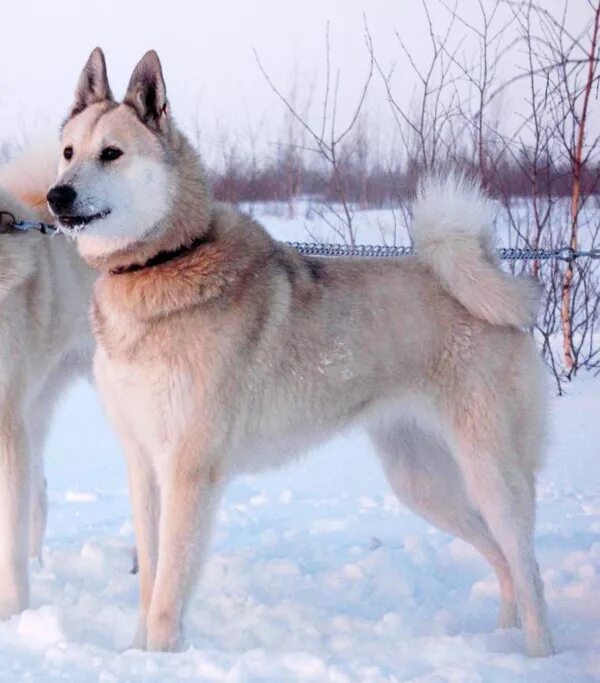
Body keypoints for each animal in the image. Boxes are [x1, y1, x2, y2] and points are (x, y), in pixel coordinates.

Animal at [49, 46, 556, 656]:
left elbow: (169, 592)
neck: (163, 261)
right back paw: (502, 639)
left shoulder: (190, 471)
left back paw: (537, 655)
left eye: (112, 153)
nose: (56, 195)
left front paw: (162, 657)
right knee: (503, 561)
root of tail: (487, 282)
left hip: (493, 476)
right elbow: (149, 580)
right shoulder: (143, 463)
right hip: (424, 483)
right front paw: (136, 654)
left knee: (529, 571)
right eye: (68, 153)